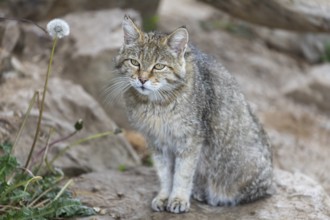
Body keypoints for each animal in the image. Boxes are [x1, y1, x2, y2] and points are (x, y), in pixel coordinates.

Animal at [107, 16, 274, 214]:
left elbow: (183, 174)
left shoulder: (190, 140)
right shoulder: (157, 141)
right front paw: (164, 196)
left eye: (159, 66)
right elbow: (164, 173)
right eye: (134, 62)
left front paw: (178, 199)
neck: (156, 104)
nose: (142, 79)